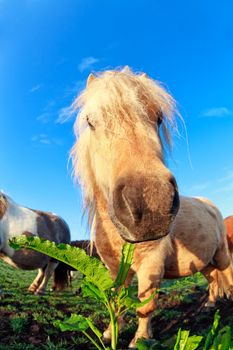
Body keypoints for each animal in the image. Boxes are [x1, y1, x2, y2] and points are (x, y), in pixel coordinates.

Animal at [70, 67, 233, 348]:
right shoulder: (115, 269)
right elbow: (116, 302)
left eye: (158, 118)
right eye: (90, 122)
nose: (151, 204)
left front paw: (140, 340)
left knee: (228, 274)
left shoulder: (151, 265)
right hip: (205, 261)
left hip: (222, 253)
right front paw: (110, 334)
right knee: (213, 278)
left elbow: (145, 307)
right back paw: (210, 305)